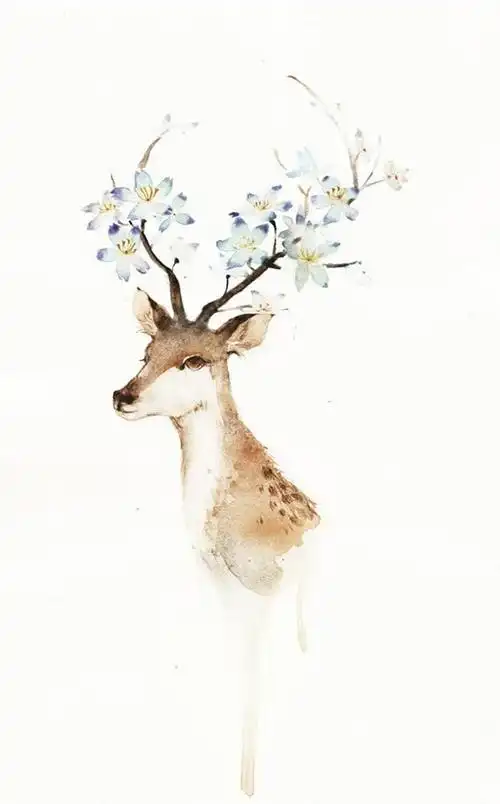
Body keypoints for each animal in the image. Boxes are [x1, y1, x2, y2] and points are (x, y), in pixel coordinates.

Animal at [84, 74, 407, 797]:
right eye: (148, 347)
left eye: (196, 359)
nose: (122, 395)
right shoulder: (224, 591)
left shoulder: (264, 591)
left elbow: (258, 686)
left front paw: (248, 781)